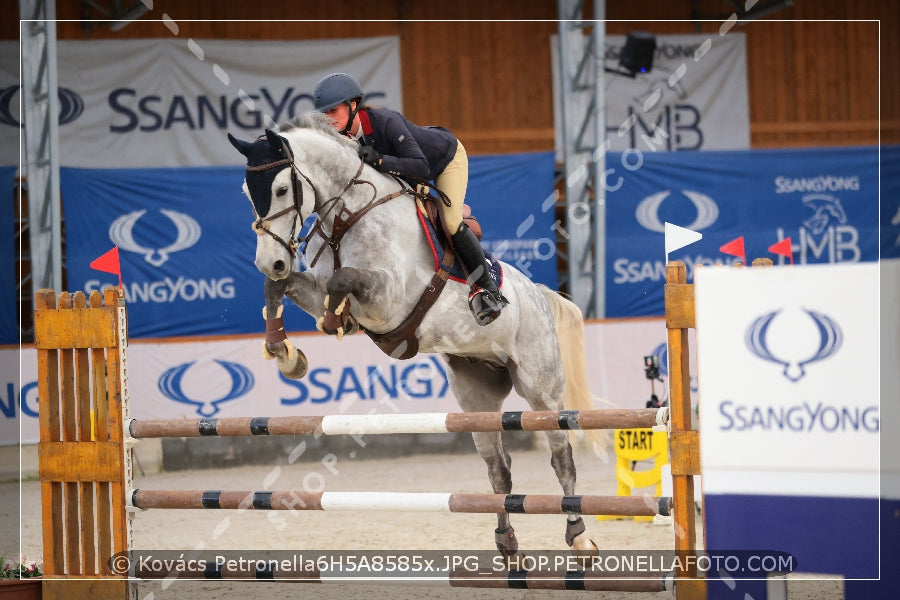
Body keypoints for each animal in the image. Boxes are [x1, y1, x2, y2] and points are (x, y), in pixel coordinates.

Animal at [229, 113, 600, 556]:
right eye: (248, 193)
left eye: (282, 189)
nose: (271, 260)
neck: (347, 216)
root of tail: (539, 294)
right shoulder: (316, 291)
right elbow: (279, 289)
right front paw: (288, 356)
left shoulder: (388, 301)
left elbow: (342, 278)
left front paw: (336, 322)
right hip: (475, 397)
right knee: (499, 468)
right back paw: (507, 543)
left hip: (540, 388)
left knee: (561, 455)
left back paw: (579, 536)